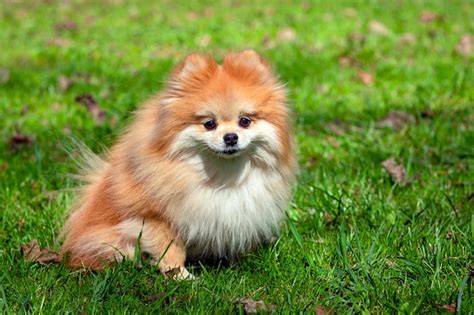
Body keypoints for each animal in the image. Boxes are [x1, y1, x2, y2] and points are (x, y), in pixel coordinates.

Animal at [60, 49, 296, 278]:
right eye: (209, 123)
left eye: (245, 121)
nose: (230, 137)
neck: (222, 176)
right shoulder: (155, 218)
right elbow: (170, 249)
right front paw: (181, 276)